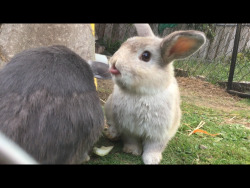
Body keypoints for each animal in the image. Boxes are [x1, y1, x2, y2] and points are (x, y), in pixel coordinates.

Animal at [103, 23, 205, 164]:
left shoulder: (159, 133)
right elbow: (131, 140)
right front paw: (132, 151)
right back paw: (112, 134)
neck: (141, 94)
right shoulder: (128, 128)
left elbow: (154, 147)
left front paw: (151, 160)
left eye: (146, 56)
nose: (114, 63)